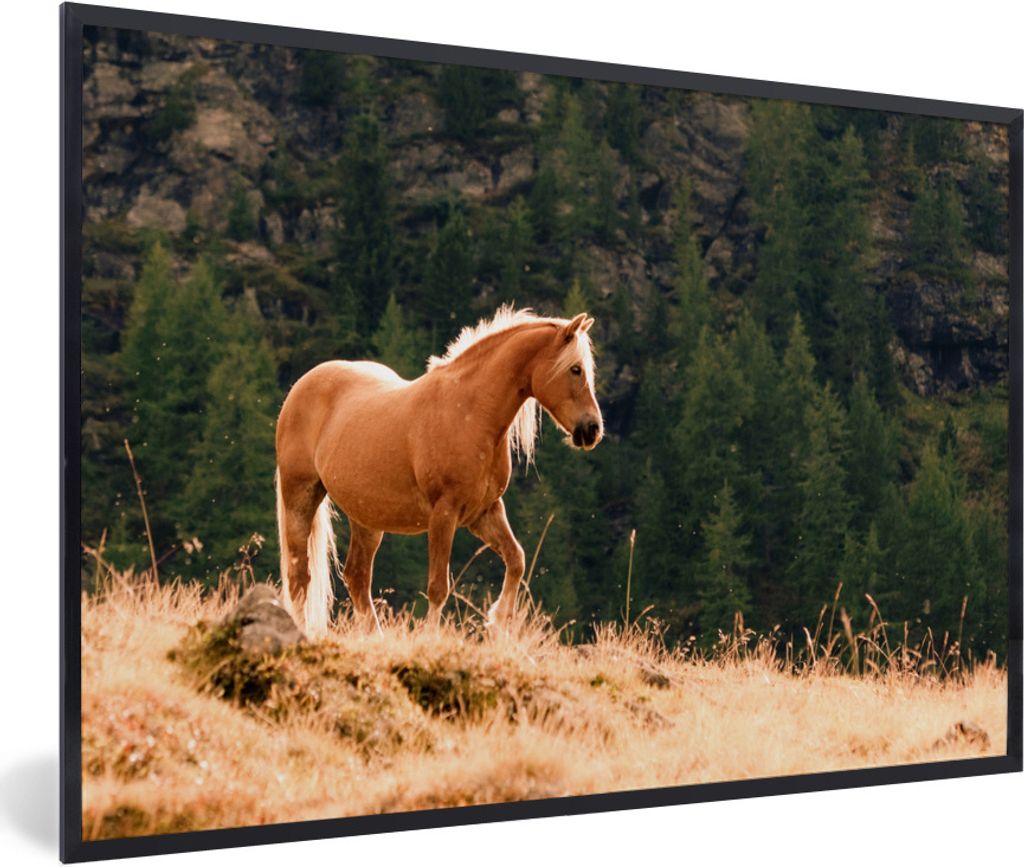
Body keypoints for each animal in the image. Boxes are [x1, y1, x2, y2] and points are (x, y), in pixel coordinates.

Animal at [274, 306, 604, 638]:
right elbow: (438, 587)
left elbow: (516, 560)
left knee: (357, 577)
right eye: (576, 369)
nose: (592, 429)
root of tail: (300, 388)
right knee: (299, 576)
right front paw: (431, 637)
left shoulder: (485, 512)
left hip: (367, 517)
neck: (470, 413)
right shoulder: (444, 514)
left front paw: (498, 623)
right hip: (300, 497)